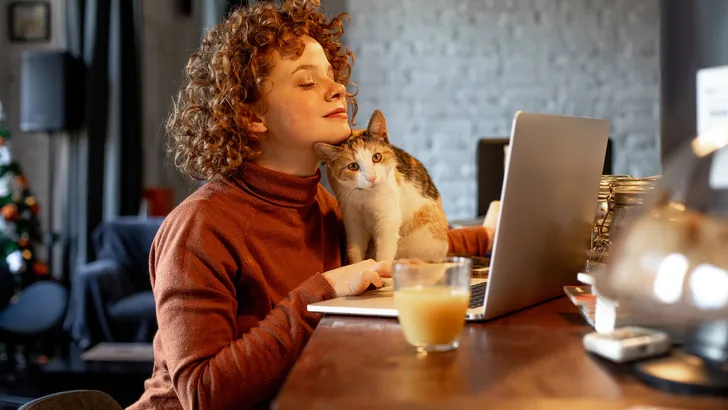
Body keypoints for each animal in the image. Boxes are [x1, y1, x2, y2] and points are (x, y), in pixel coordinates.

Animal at [314, 109, 450, 262]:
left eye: (376, 157)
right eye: (353, 166)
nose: (372, 178)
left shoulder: (387, 219)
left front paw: (381, 266)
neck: (365, 196)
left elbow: (384, 251)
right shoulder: (352, 219)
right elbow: (355, 250)